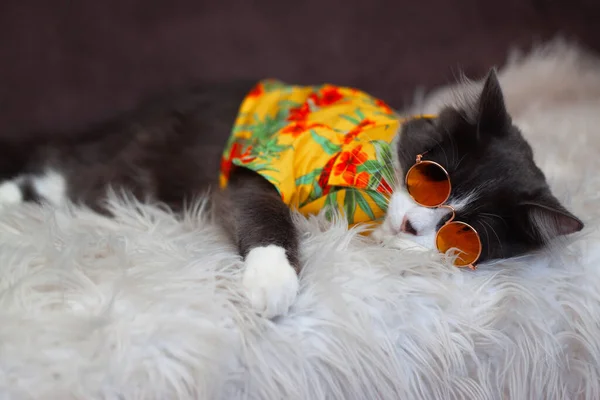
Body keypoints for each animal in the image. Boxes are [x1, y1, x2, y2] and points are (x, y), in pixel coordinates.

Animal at [0, 69, 584, 318]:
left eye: (459, 235)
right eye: (432, 175)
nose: (412, 225)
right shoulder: (254, 170)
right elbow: (265, 215)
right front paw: (271, 280)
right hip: (121, 174)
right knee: (53, 175)